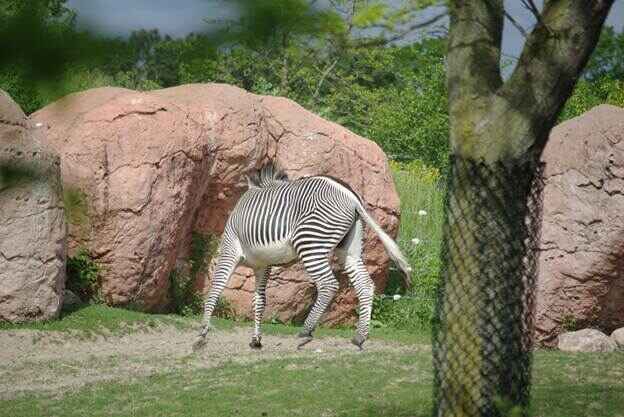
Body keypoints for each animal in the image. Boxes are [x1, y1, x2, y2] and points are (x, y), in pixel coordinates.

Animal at [193, 161, 412, 350]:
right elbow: (259, 301)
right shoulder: (263, 265)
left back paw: (306, 331)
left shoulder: (230, 249)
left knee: (328, 284)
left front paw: (202, 334)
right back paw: (359, 336)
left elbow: (215, 289)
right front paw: (256, 339)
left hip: (310, 242)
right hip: (349, 248)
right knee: (365, 285)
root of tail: (351, 197)